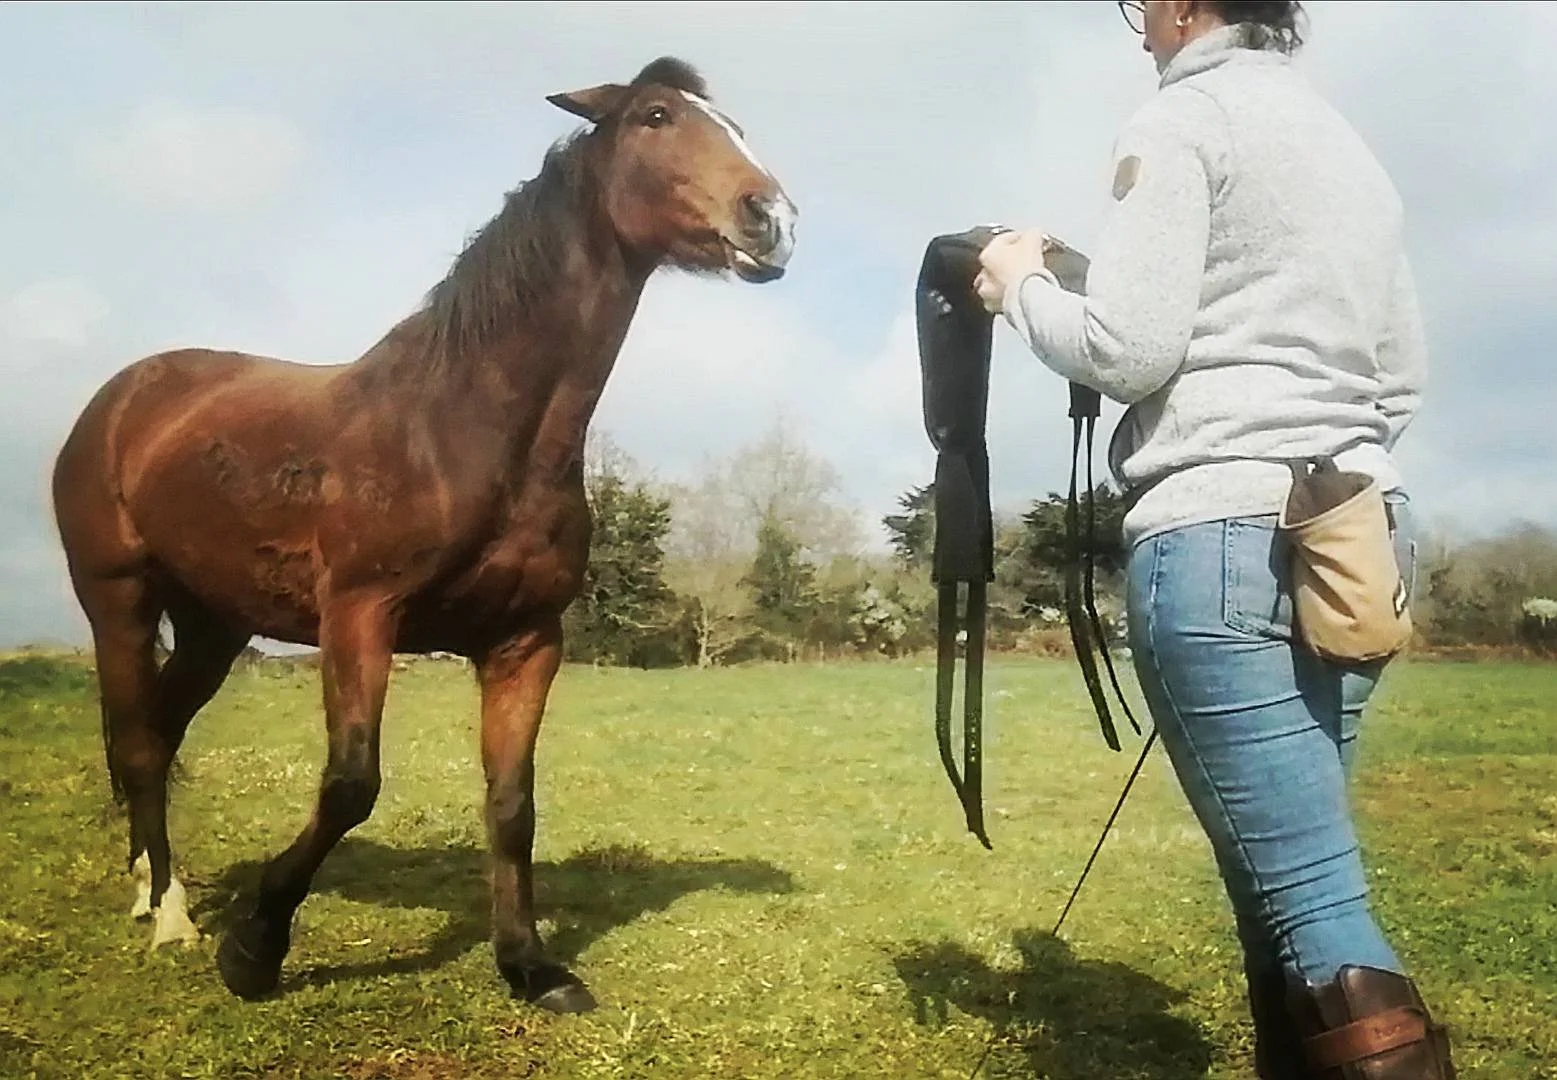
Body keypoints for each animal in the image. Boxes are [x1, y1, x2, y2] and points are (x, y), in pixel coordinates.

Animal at [49, 55, 797, 1015]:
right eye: (657, 116)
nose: (772, 221)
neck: (461, 426)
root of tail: (122, 397)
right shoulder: (359, 617)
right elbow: (350, 784)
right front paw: (253, 950)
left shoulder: (524, 641)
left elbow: (512, 802)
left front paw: (530, 967)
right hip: (119, 600)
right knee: (142, 742)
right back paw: (172, 916)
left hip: (215, 622)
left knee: (160, 729)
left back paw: (152, 888)